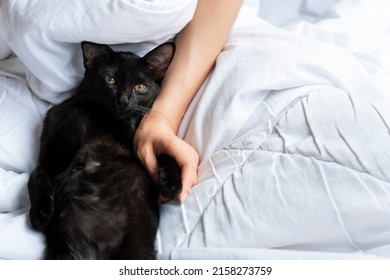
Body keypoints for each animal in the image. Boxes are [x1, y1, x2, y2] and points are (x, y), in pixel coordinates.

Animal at [27, 41, 183, 260]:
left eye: (140, 87)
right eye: (110, 79)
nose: (123, 100)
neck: (103, 117)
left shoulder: (137, 144)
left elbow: (163, 152)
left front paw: (171, 182)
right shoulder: (48, 150)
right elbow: (35, 175)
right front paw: (40, 212)